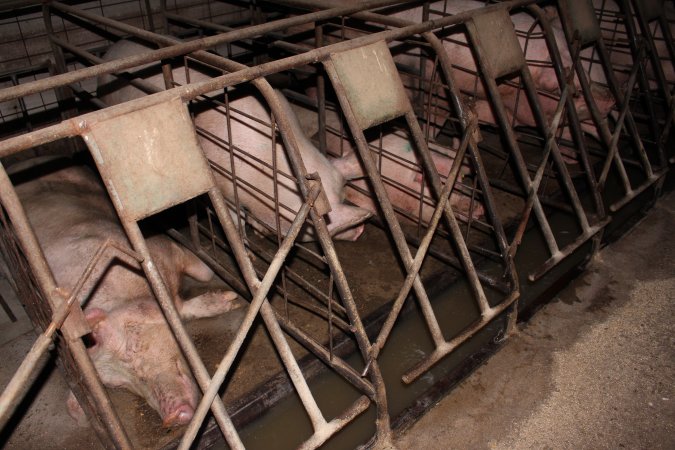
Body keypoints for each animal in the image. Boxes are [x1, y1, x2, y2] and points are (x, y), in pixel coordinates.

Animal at [13, 160, 242, 428]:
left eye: (132, 348)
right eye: (118, 384)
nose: (172, 416)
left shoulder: (159, 248)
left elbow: (204, 272)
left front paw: (232, 299)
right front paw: (228, 301)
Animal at [96, 39, 370, 243]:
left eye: (344, 195)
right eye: (323, 224)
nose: (360, 229)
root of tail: (113, 48)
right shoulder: (224, 185)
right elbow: (234, 219)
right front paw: (247, 242)